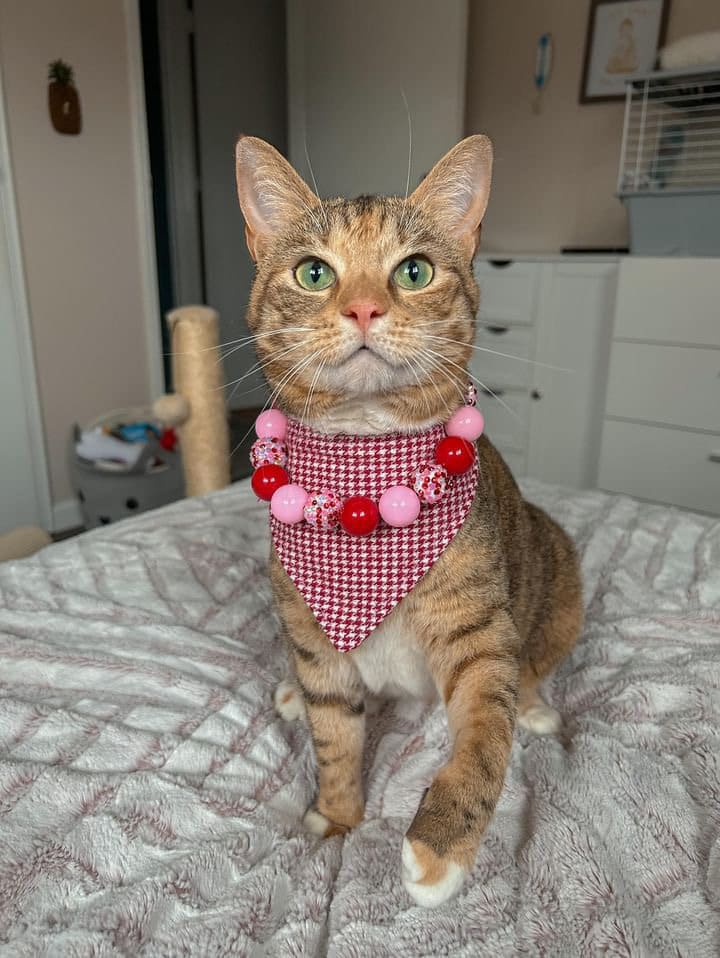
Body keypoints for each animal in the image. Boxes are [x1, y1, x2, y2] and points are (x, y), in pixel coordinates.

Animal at [233, 133, 584, 908]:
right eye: (313, 272)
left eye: (414, 270)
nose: (364, 309)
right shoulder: (313, 628)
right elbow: (335, 739)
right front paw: (337, 820)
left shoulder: (476, 632)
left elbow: (484, 733)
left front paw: (442, 843)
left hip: (559, 565)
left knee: (532, 665)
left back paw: (536, 703)